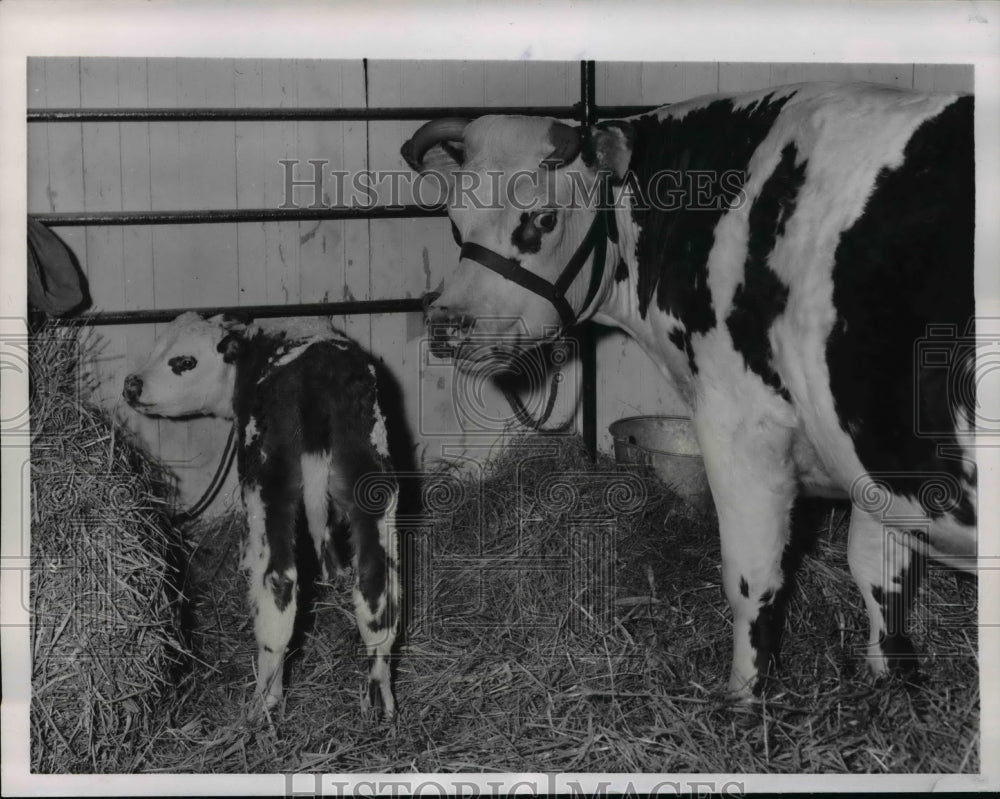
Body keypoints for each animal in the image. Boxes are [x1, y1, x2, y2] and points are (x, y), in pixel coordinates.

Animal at [127, 310, 400, 716]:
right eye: (156, 347)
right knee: (375, 584)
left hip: (268, 482)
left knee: (279, 582)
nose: (132, 385)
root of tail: (318, 371)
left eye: (184, 362)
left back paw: (263, 702)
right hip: (373, 480)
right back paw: (380, 699)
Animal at [400, 78, 976, 696]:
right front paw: (893, 685)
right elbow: (878, 575)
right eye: (455, 222)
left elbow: (753, 581)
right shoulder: (871, 452)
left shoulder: (741, 423)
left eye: (542, 219)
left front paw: (745, 701)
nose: (445, 324)